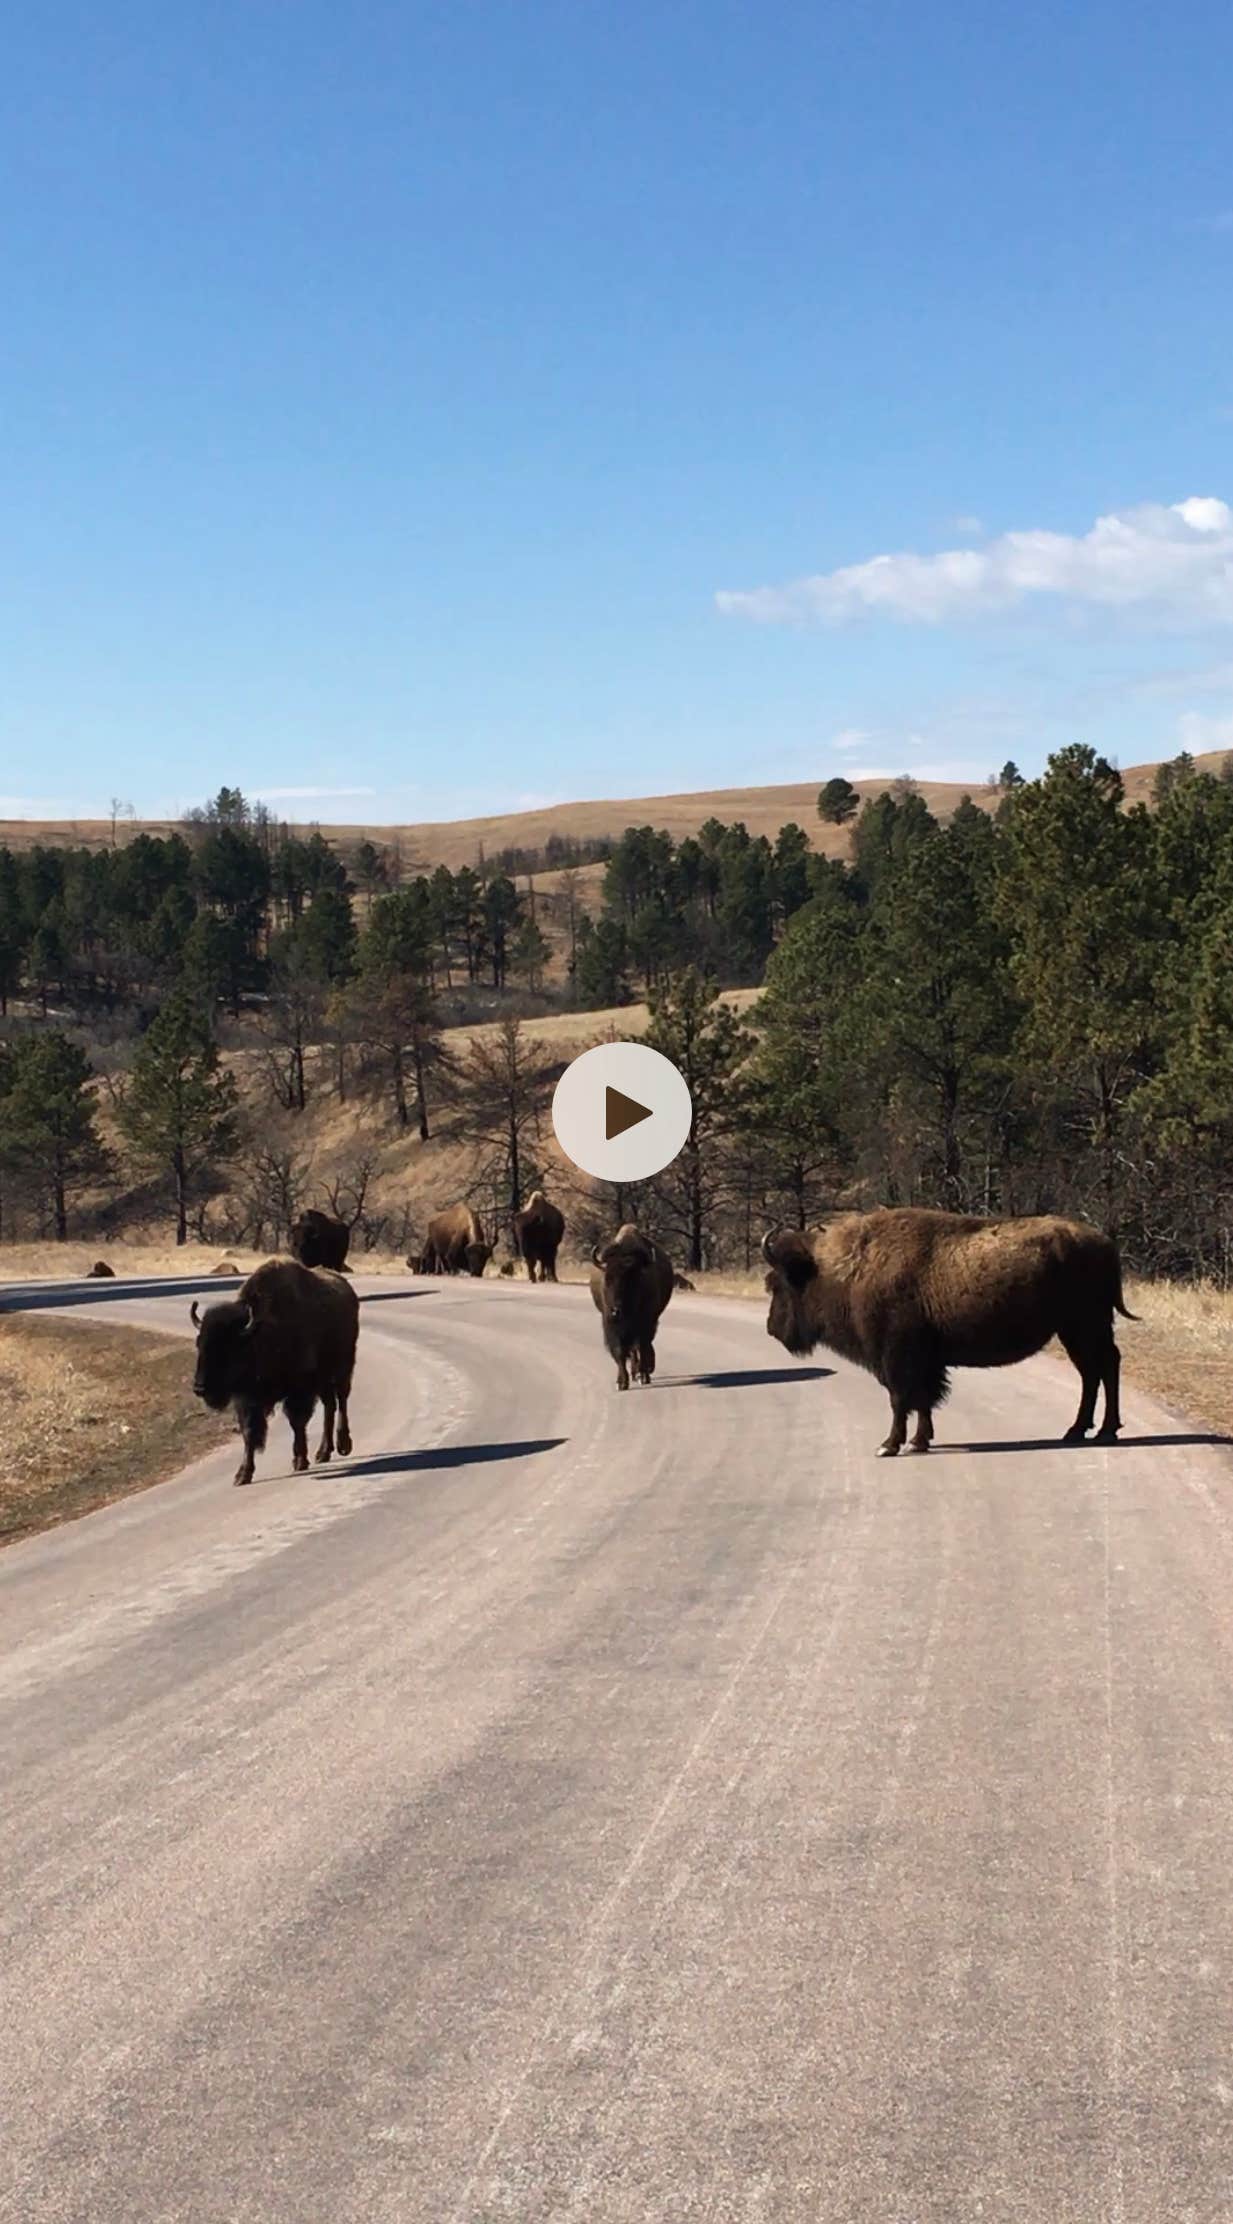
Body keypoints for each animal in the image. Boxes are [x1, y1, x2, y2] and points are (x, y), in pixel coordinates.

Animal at [189, 1263, 358, 1485]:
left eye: (226, 1348)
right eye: (199, 1344)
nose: (199, 1387)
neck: (260, 1334)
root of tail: (347, 1289)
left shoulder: (299, 1390)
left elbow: (297, 1422)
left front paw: (299, 1460)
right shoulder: (247, 1399)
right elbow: (249, 1431)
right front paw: (242, 1474)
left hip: (342, 1369)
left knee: (342, 1401)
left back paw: (343, 1445)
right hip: (323, 1382)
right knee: (330, 1406)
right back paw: (323, 1452)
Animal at [756, 1200, 1130, 1458]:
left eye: (778, 1282)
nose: (771, 1328)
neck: (845, 1270)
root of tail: (1105, 1244)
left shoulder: (896, 1358)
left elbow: (900, 1399)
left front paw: (889, 1445)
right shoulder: (924, 1362)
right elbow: (923, 1400)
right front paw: (919, 1441)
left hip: (1086, 1327)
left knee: (1105, 1367)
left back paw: (1104, 1432)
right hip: (1075, 1331)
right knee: (1093, 1373)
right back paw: (1078, 1431)